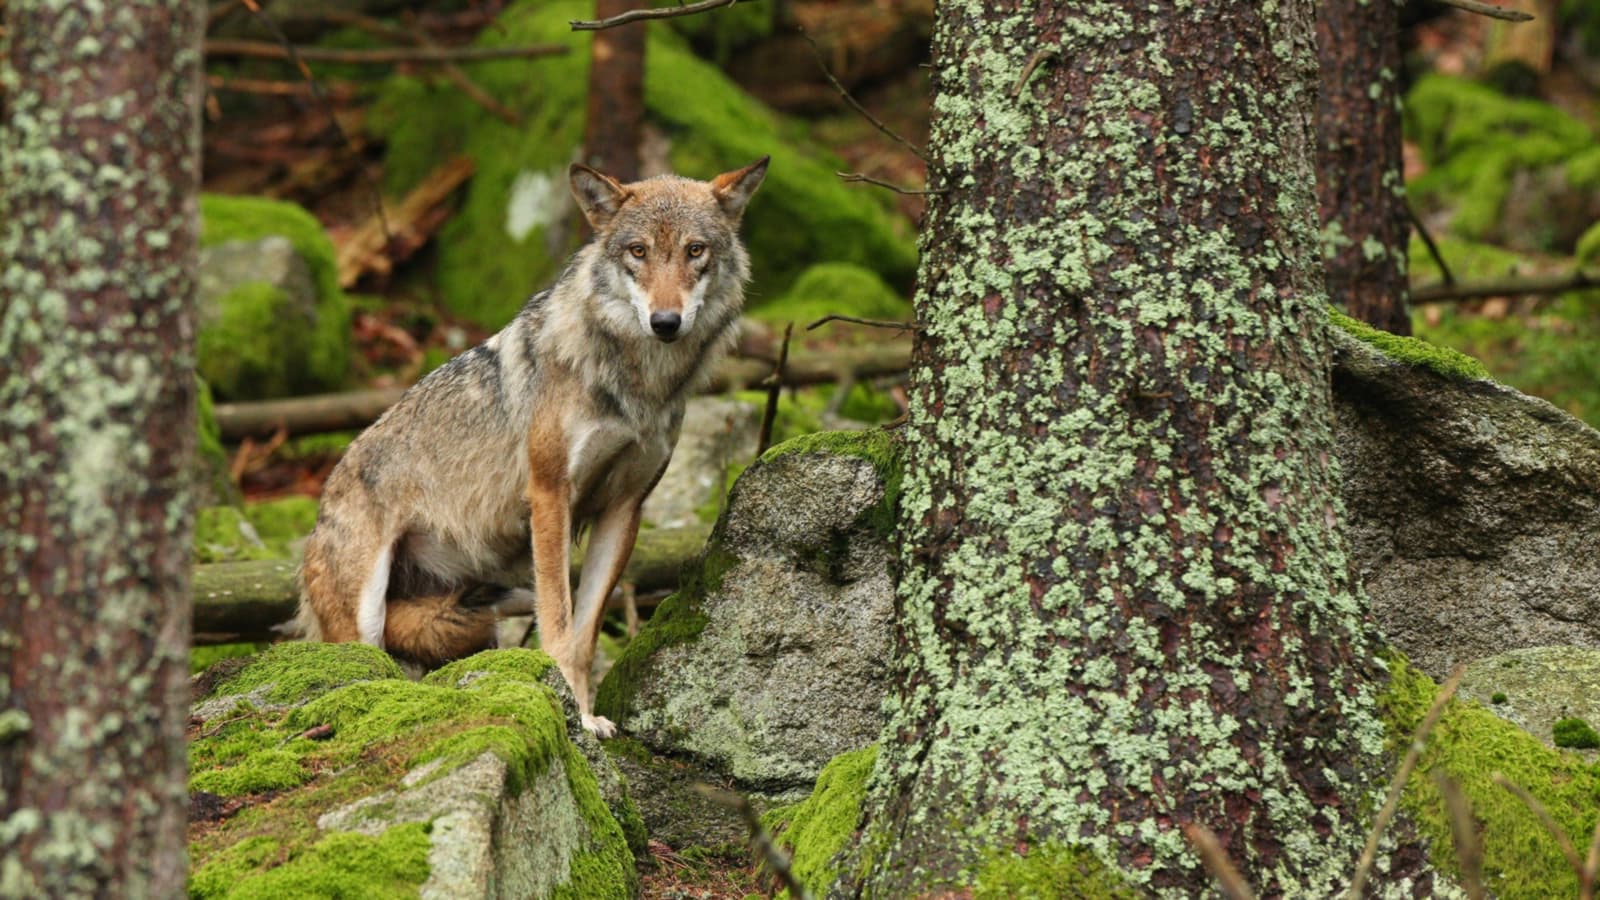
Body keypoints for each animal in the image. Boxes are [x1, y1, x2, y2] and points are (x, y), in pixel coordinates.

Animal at [297, 157, 768, 737]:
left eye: (695, 250)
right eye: (638, 251)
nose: (665, 322)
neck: (640, 384)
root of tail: (323, 501)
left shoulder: (624, 508)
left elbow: (585, 635)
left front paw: (588, 715)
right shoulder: (549, 494)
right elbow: (559, 623)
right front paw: (575, 717)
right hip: (365, 616)